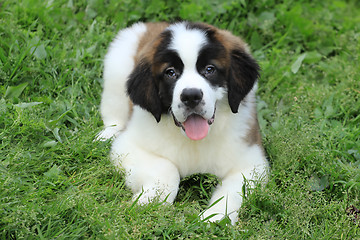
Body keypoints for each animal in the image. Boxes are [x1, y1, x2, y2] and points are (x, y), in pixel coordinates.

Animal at [97, 21, 268, 224]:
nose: (191, 96)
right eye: (170, 73)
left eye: (209, 69)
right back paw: (106, 134)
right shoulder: (128, 146)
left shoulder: (252, 162)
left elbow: (234, 191)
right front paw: (149, 201)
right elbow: (167, 168)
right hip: (117, 64)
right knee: (113, 110)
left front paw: (216, 217)